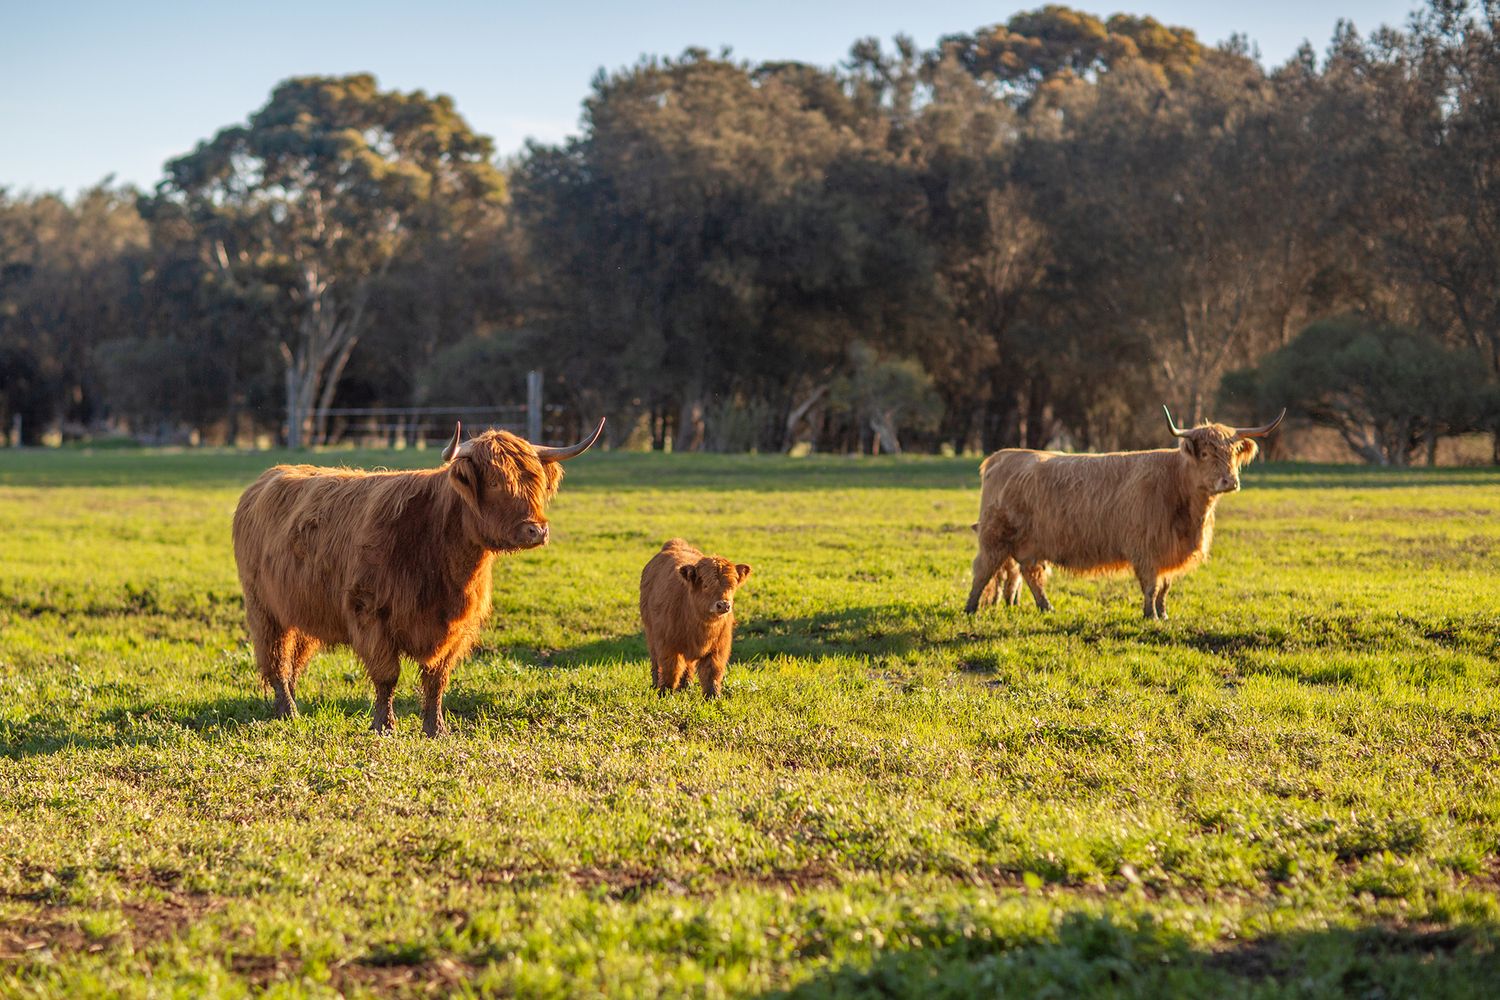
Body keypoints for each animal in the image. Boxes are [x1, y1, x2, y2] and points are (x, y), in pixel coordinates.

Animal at [232, 418, 604, 736]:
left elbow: (436, 678)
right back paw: (289, 711)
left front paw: (435, 728)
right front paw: (384, 725)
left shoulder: (456, 627)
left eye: (535, 482)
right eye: (496, 482)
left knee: (295, 657)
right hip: (263, 607)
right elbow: (387, 676)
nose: (536, 530)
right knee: (276, 659)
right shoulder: (370, 614)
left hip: (303, 608)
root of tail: (268, 477)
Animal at [640, 539, 752, 698]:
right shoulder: (667, 644)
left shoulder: (719, 648)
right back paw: (657, 684)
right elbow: (670, 670)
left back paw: (686, 686)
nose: (723, 605)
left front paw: (713, 696)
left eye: (731, 586)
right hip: (651, 633)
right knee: (656, 662)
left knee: (688, 666)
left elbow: (712, 673)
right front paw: (665, 693)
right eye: (705, 585)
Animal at [964, 407, 1283, 620]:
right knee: (983, 571)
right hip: (994, 538)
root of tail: (1002, 456)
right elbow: (1151, 585)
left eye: (1232, 455)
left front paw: (1163, 615)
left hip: (1029, 545)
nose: (1230, 481)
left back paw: (1047, 608)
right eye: (1205, 454)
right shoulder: (1145, 548)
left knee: (1030, 574)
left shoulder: (1168, 551)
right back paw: (970, 609)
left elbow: (1165, 586)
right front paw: (1150, 616)